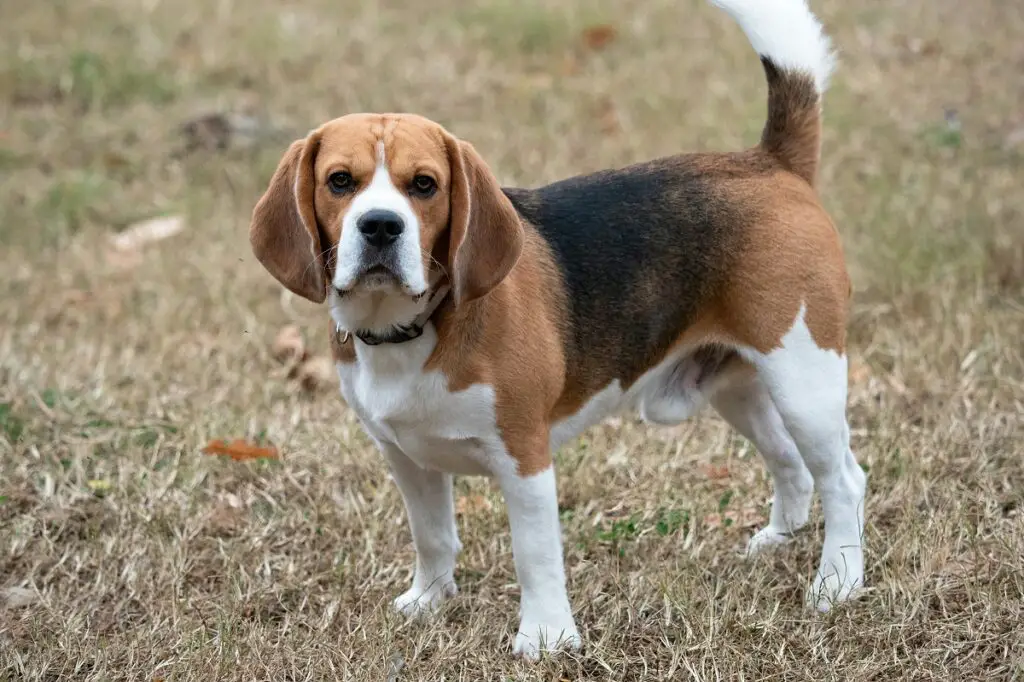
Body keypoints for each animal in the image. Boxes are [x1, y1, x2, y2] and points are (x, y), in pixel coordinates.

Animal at [247, 0, 864, 659]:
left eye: (424, 185)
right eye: (340, 181)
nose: (382, 226)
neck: (415, 329)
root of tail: (769, 161)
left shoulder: (525, 457)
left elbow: (535, 555)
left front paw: (545, 637)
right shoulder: (406, 457)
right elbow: (432, 535)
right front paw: (431, 600)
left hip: (805, 378)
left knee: (844, 479)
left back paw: (838, 583)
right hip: (738, 387)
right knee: (790, 461)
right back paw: (779, 540)